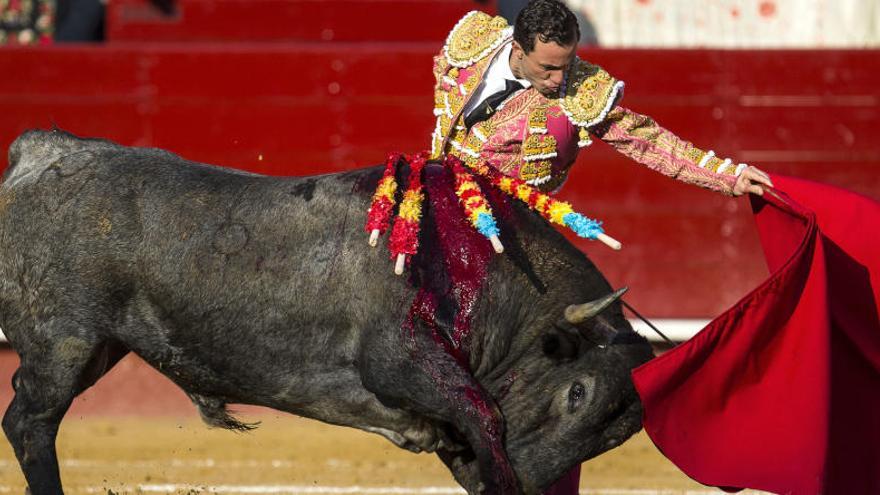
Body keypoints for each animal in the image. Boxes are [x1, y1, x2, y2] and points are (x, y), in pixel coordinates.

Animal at [0, 131, 652, 495]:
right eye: (576, 393)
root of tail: (41, 153)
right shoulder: (402, 363)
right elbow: (484, 418)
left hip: (100, 346)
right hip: (65, 341)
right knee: (29, 423)